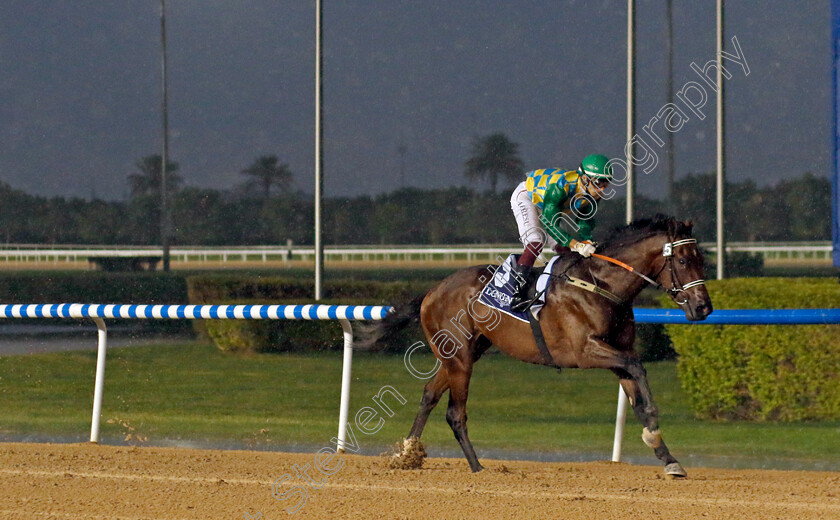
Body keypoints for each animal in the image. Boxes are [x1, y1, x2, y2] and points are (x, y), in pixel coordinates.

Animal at [368, 214, 708, 476]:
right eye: (682, 260)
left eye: (702, 260)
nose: (704, 307)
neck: (601, 285)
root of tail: (431, 292)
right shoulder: (586, 351)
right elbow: (638, 370)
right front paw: (654, 431)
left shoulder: (618, 354)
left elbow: (636, 394)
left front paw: (668, 457)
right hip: (460, 357)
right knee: (455, 412)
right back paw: (477, 468)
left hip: (463, 354)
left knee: (429, 395)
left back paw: (408, 454)